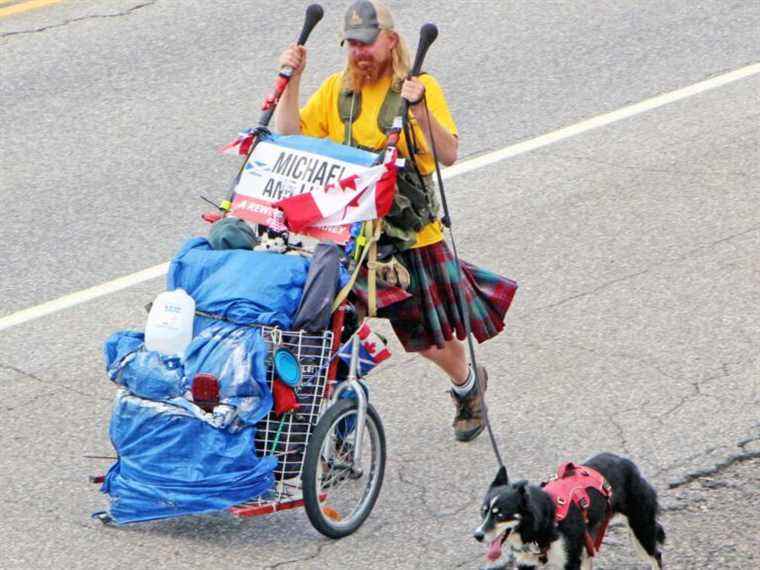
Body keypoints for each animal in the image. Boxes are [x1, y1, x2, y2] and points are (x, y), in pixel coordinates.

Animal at [476, 452, 664, 568]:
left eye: (500, 514)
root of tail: (627, 463)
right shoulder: (526, 564)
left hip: (641, 529)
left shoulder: (569, 561)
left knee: (656, 556)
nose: (477, 535)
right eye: (483, 512)